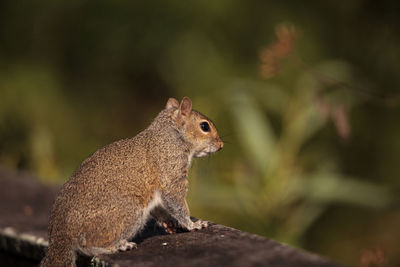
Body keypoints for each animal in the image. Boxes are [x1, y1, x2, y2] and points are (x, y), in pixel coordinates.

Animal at [40, 97, 225, 266]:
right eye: (204, 126)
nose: (221, 145)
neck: (170, 136)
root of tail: (61, 235)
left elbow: (160, 206)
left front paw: (169, 223)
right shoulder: (171, 172)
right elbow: (176, 201)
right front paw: (192, 224)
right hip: (128, 212)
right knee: (87, 245)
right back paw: (118, 246)